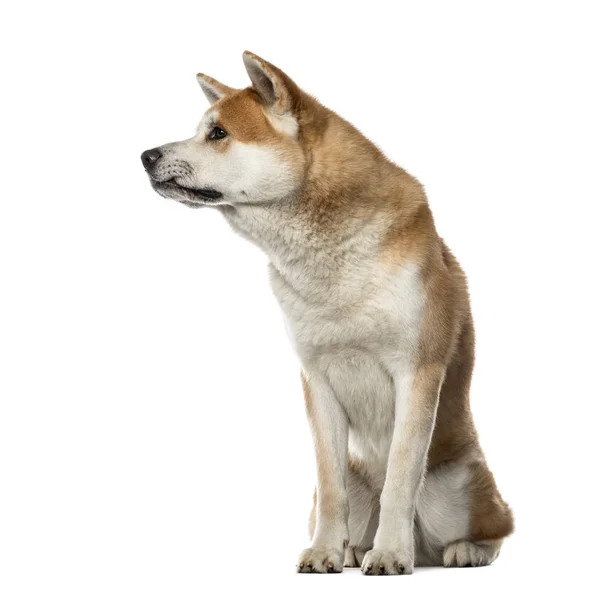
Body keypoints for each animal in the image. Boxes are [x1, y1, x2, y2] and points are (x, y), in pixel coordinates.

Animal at [141, 52, 510, 576]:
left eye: (218, 133)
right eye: (201, 130)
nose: (146, 156)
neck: (329, 263)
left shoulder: (416, 372)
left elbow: (400, 481)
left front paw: (390, 554)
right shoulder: (316, 378)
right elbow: (331, 484)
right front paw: (325, 552)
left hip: (455, 489)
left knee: (493, 525)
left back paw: (461, 549)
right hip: (356, 487)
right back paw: (356, 549)